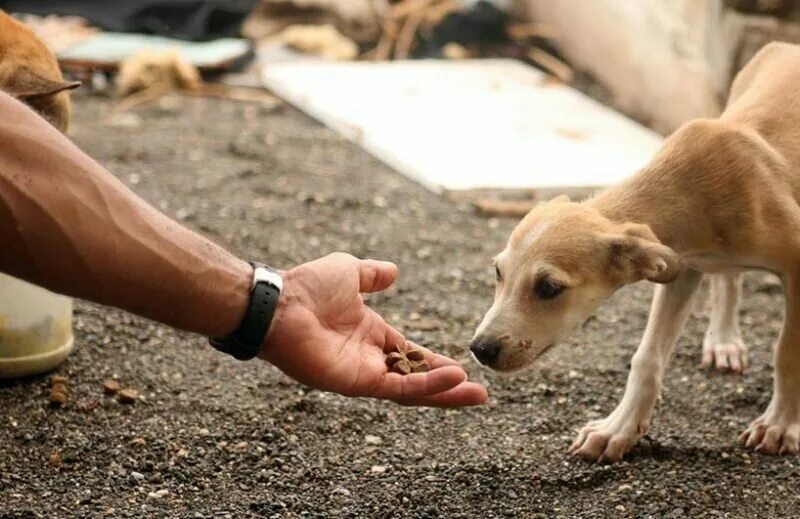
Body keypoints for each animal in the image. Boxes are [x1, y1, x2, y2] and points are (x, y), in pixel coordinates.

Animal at [472, 41, 800, 464]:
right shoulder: (682, 267)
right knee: (728, 279)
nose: (479, 349)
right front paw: (618, 430)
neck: (692, 188)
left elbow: (787, 353)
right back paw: (724, 341)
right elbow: (646, 359)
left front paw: (779, 425)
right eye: (498, 273)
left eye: (549, 288)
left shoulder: (796, 265)